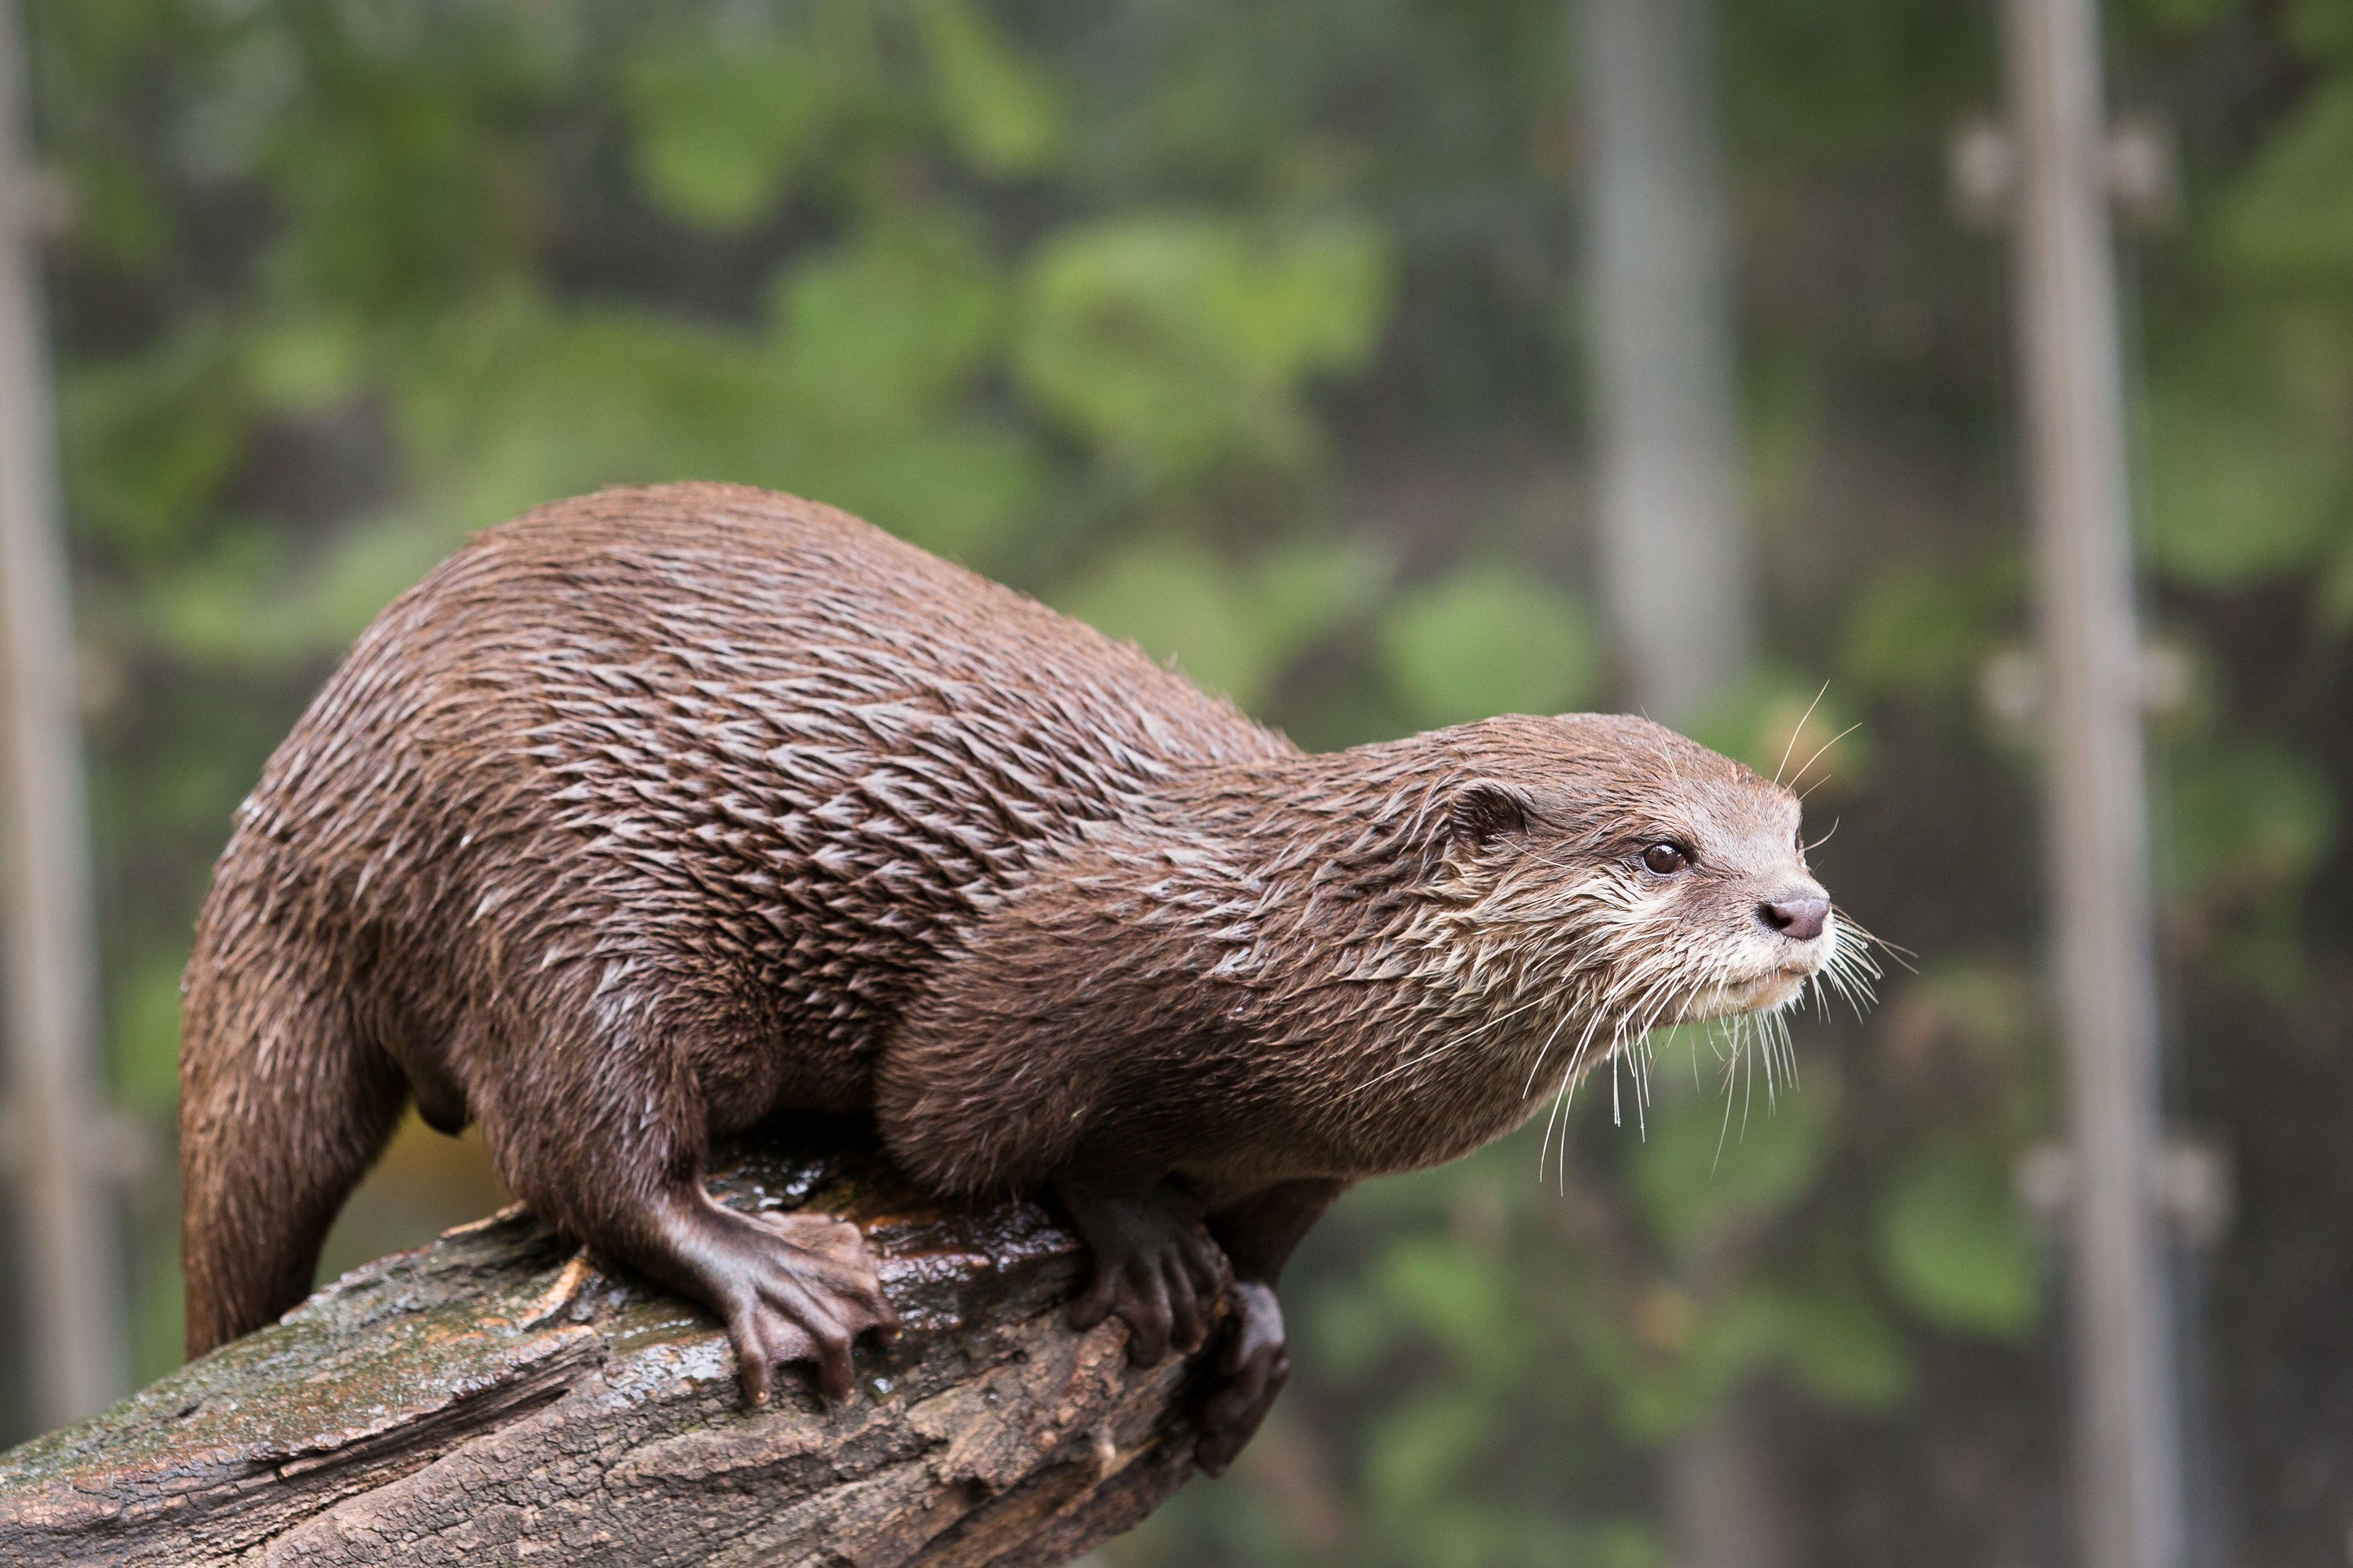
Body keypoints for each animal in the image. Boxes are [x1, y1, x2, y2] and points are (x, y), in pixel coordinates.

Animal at [174, 484, 1844, 1476]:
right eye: (1659, 849)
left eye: (1791, 821)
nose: (1802, 907)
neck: (1299, 974)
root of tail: (321, 768)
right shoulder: (1066, 955)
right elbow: (961, 1117)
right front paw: (1146, 1236)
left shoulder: (1324, 1152)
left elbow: (1275, 1237)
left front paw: (1251, 1326)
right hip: (577, 887)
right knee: (579, 1140)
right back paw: (772, 1270)